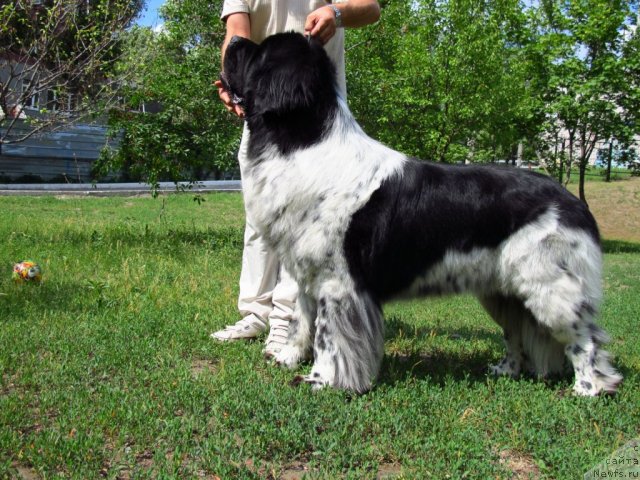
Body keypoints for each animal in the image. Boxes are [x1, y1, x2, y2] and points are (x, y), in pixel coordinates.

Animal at [222, 31, 624, 396]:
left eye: (261, 51)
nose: (234, 40)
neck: (303, 144)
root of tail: (572, 200)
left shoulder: (338, 283)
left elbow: (329, 338)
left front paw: (322, 380)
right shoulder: (308, 275)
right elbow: (301, 323)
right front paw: (287, 359)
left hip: (550, 288)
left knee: (585, 338)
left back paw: (589, 388)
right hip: (503, 291)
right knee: (517, 333)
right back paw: (506, 371)